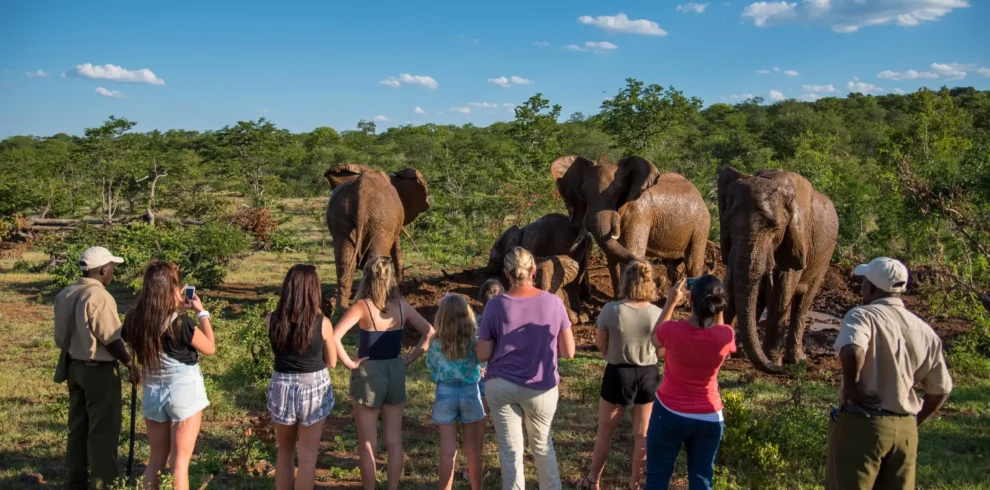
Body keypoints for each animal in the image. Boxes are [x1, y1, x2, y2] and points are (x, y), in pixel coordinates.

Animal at [325, 163, 429, 309]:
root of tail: (361, 195)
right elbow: (396, 249)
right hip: (381, 220)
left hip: (341, 216)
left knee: (344, 263)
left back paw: (341, 310)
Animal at [551, 155, 711, 298]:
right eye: (583, 192)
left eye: (619, 191)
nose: (658, 279)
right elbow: (613, 257)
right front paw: (617, 299)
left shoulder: (639, 214)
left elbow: (631, 250)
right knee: (674, 267)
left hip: (701, 225)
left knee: (693, 264)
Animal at [717, 166, 838, 374]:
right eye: (727, 222)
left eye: (774, 227)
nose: (780, 370)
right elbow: (733, 288)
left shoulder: (799, 240)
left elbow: (782, 292)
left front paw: (774, 360)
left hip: (825, 257)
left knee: (802, 302)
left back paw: (795, 360)